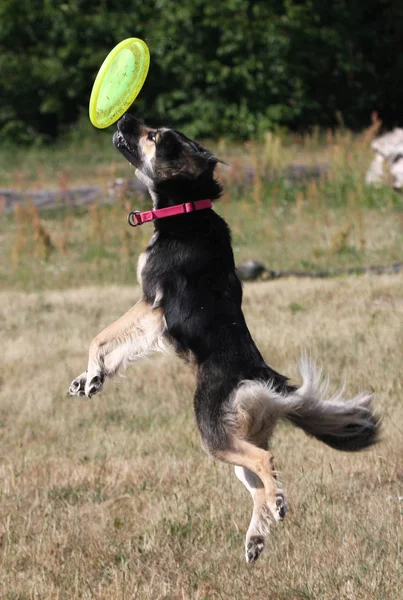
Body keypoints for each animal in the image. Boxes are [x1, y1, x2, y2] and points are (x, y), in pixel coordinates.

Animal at [69, 115, 382, 564]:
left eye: (153, 136)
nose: (126, 118)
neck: (187, 209)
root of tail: (268, 383)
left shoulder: (152, 306)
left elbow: (101, 336)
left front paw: (93, 372)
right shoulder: (152, 319)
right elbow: (116, 344)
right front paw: (89, 379)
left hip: (213, 431)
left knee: (265, 460)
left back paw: (274, 506)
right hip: (236, 441)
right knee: (259, 482)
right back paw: (259, 532)